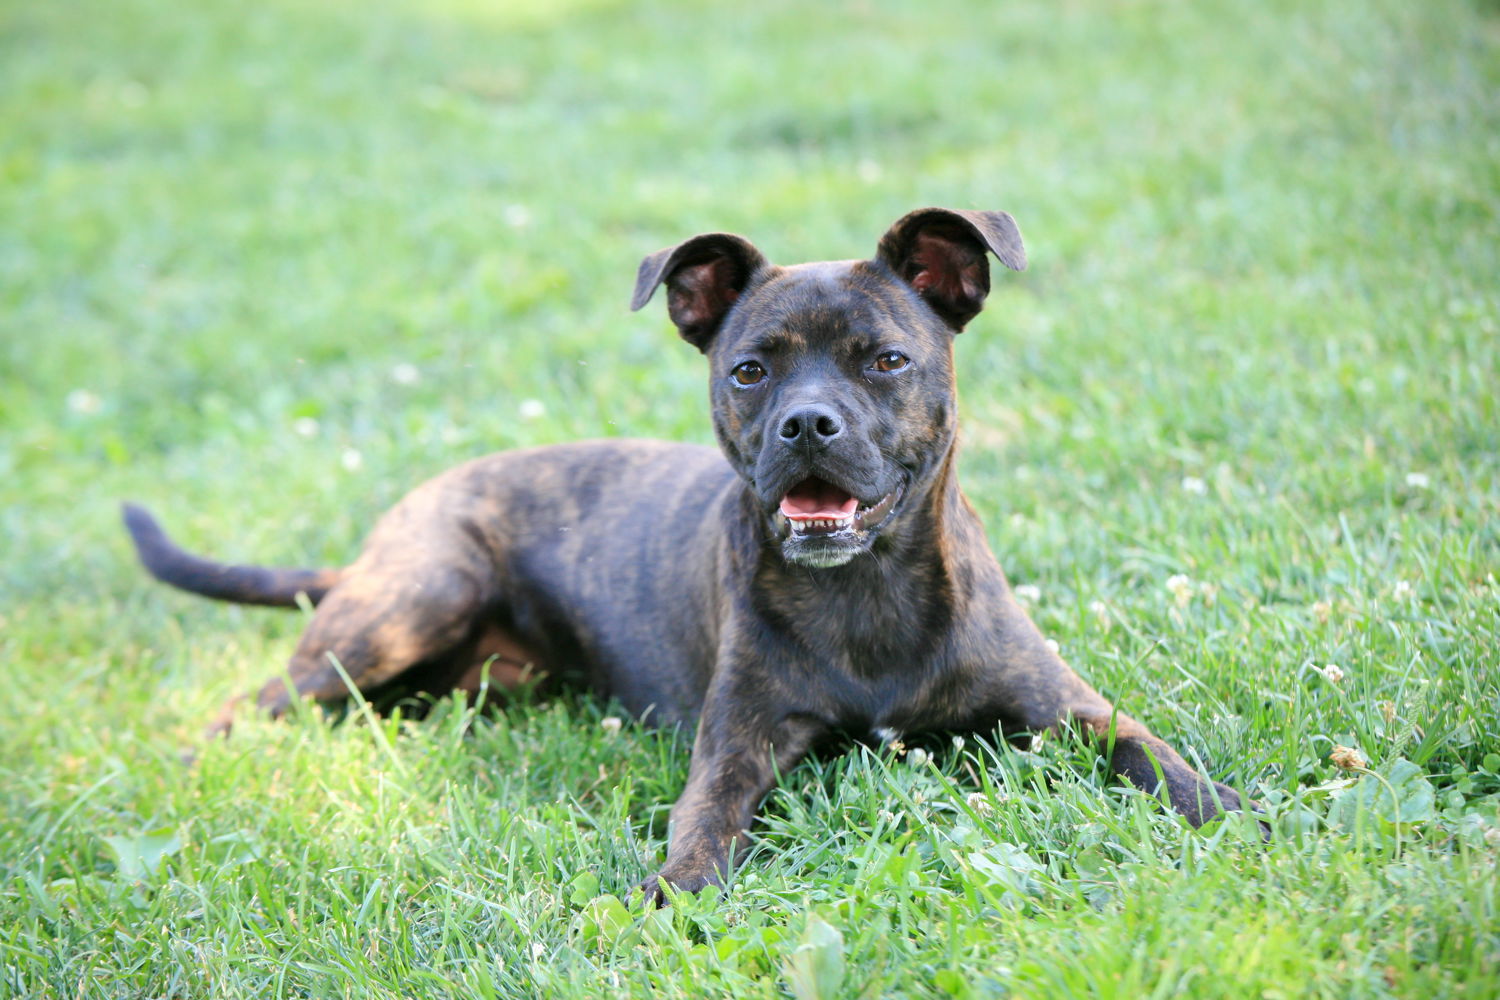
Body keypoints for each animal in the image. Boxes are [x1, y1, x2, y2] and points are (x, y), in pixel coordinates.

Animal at [129, 206, 1248, 905]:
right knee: (253, 700)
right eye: (750, 370)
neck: (868, 595)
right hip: (417, 595)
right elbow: (703, 827)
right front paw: (677, 897)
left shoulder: (1065, 708)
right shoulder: (736, 748)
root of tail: (375, 545)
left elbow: (1153, 756)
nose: (806, 423)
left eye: (886, 359)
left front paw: (1237, 814)